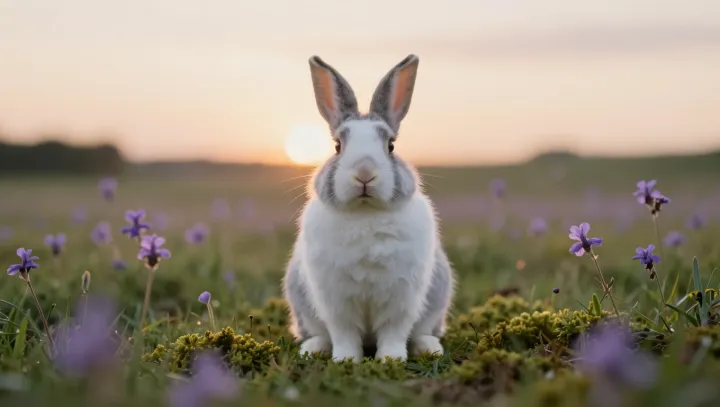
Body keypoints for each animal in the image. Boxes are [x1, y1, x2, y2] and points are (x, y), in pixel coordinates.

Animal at [282, 54, 455, 362]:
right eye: (337, 146)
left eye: (391, 145)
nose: (365, 173)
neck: (365, 213)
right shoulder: (336, 301)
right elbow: (345, 334)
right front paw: (346, 359)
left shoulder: (402, 297)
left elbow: (393, 332)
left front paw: (391, 359)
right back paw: (313, 349)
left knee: (422, 331)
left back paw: (429, 348)